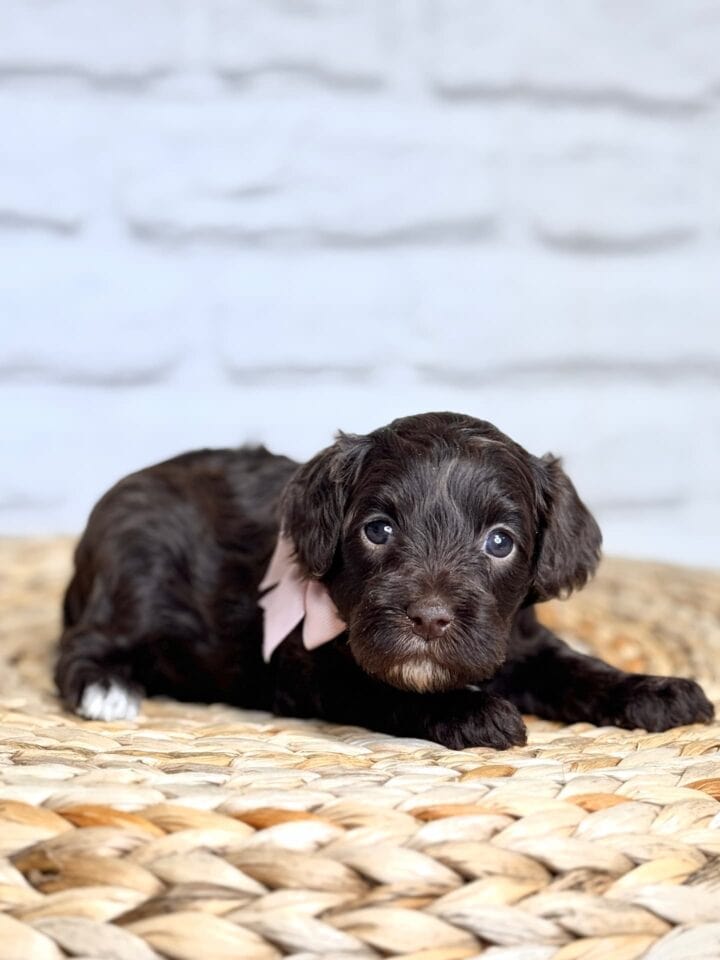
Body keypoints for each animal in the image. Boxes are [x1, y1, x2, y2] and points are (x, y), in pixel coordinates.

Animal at [53, 408, 712, 748]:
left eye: (500, 542)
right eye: (378, 530)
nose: (428, 619)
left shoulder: (517, 639)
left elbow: (575, 666)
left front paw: (655, 691)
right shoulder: (313, 669)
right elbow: (388, 689)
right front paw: (472, 712)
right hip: (132, 573)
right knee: (81, 646)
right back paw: (106, 690)